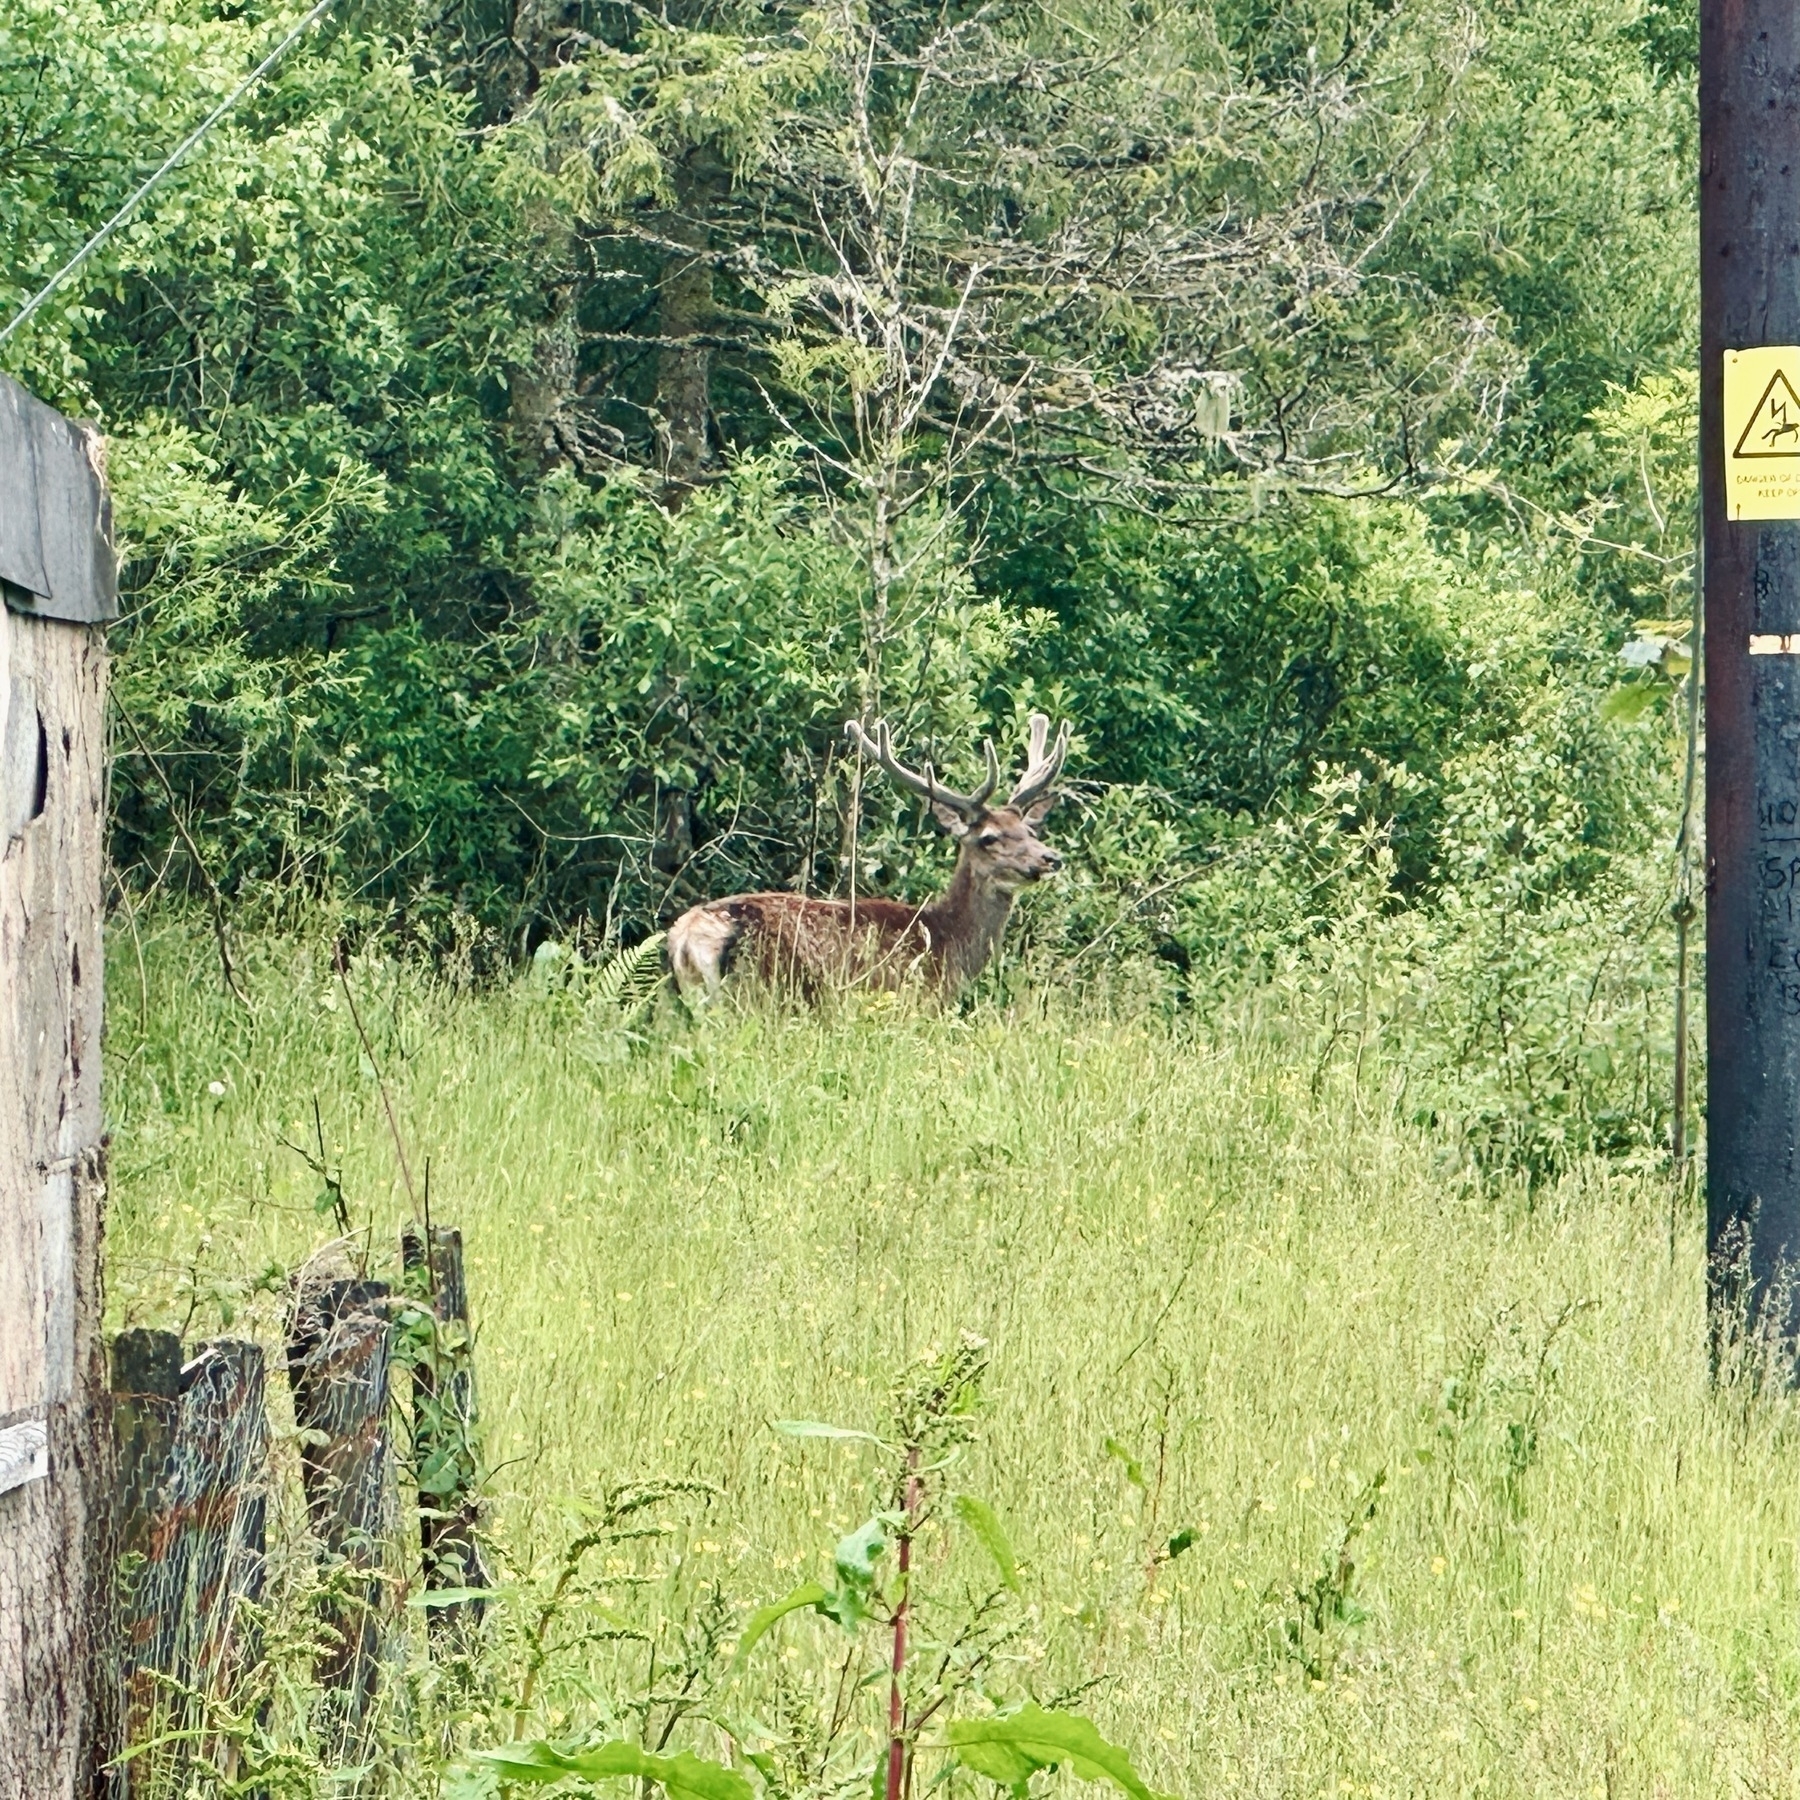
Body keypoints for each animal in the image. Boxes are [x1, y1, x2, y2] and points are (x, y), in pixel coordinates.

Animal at [673, 712, 1065, 1000]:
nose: (1051, 858)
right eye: (989, 837)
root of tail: (687, 935)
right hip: (766, 992)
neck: (947, 942)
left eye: (1030, 831)